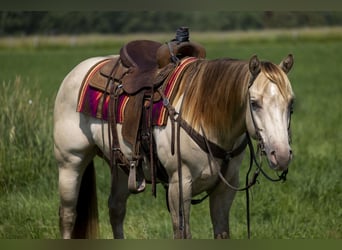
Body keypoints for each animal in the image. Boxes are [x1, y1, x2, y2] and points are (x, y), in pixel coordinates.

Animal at [53, 38, 294, 238]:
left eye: (291, 103)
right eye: (254, 103)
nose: (281, 155)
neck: (205, 117)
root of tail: (79, 70)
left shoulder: (225, 189)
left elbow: (222, 232)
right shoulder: (180, 185)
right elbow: (182, 233)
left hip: (122, 164)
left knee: (116, 209)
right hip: (70, 162)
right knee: (68, 215)